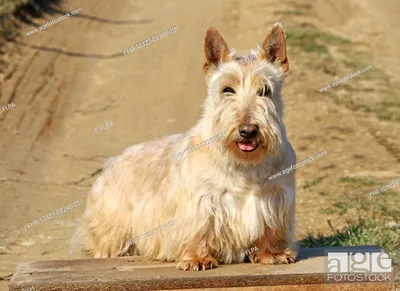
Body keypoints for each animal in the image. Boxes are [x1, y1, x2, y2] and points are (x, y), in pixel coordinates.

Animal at [72, 22, 296, 272]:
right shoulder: (201, 203)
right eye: (227, 89)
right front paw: (197, 258)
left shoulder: (275, 198)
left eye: (264, 90)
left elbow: (271, 230)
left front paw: (273, 253)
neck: (243, 164)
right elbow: (199, 231)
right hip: (111, 227)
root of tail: (114, 161)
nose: (248, 131)